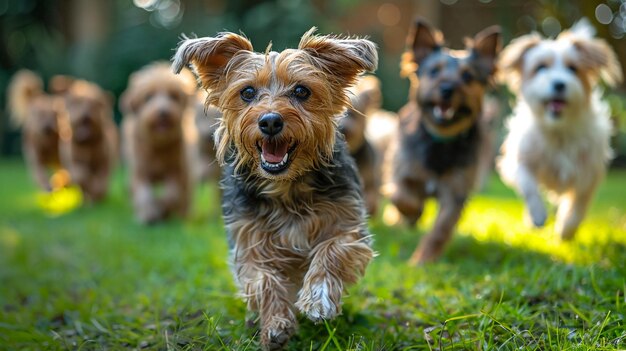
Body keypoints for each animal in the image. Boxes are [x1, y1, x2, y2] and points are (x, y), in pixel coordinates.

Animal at [118, 62, 194, 224]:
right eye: (148, 97)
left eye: (173, 96)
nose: (163, 112)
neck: (158, 146)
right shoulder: (140, 172)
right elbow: (144, 195)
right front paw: (149, 215)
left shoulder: (175, 170)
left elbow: (172, 194)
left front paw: (162, 208)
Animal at [171, 28, 376, 350]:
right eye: (247, 92)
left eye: (302, 91)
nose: (269, 121)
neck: (286, 188)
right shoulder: (248, 241)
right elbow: (263, 279)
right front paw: (276, 324)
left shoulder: (348, 224)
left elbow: (333, 249)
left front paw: (318, 298)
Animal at [388, 17, 500, 264]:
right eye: (433, 71)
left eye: (468, 76)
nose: (447, 88)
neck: (441, 139)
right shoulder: (403, 171)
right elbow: (402, 197)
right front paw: (413, 213)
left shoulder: (455, 192)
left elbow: (440, 230)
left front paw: (422, 261)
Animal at [492, 18, 620, 239]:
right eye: (541, 67)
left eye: (573, 68)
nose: (559, 84)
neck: (559, 130)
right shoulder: (520, 160)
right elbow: (528, 185)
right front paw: (537, 214)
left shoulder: (589, 171)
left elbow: (579, 203)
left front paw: (567, 228)